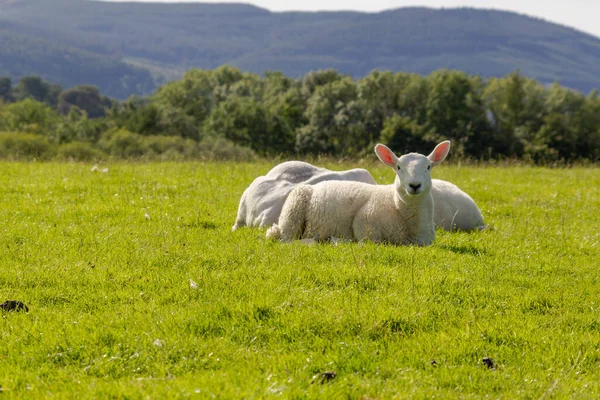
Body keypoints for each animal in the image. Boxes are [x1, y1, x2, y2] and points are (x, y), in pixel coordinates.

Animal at [266, 141, 450, 247]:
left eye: (428, 167)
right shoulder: (365, 225)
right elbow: (369, 242)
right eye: (398, 167)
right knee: (288, 240)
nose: (414, 185)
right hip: (293, 209)